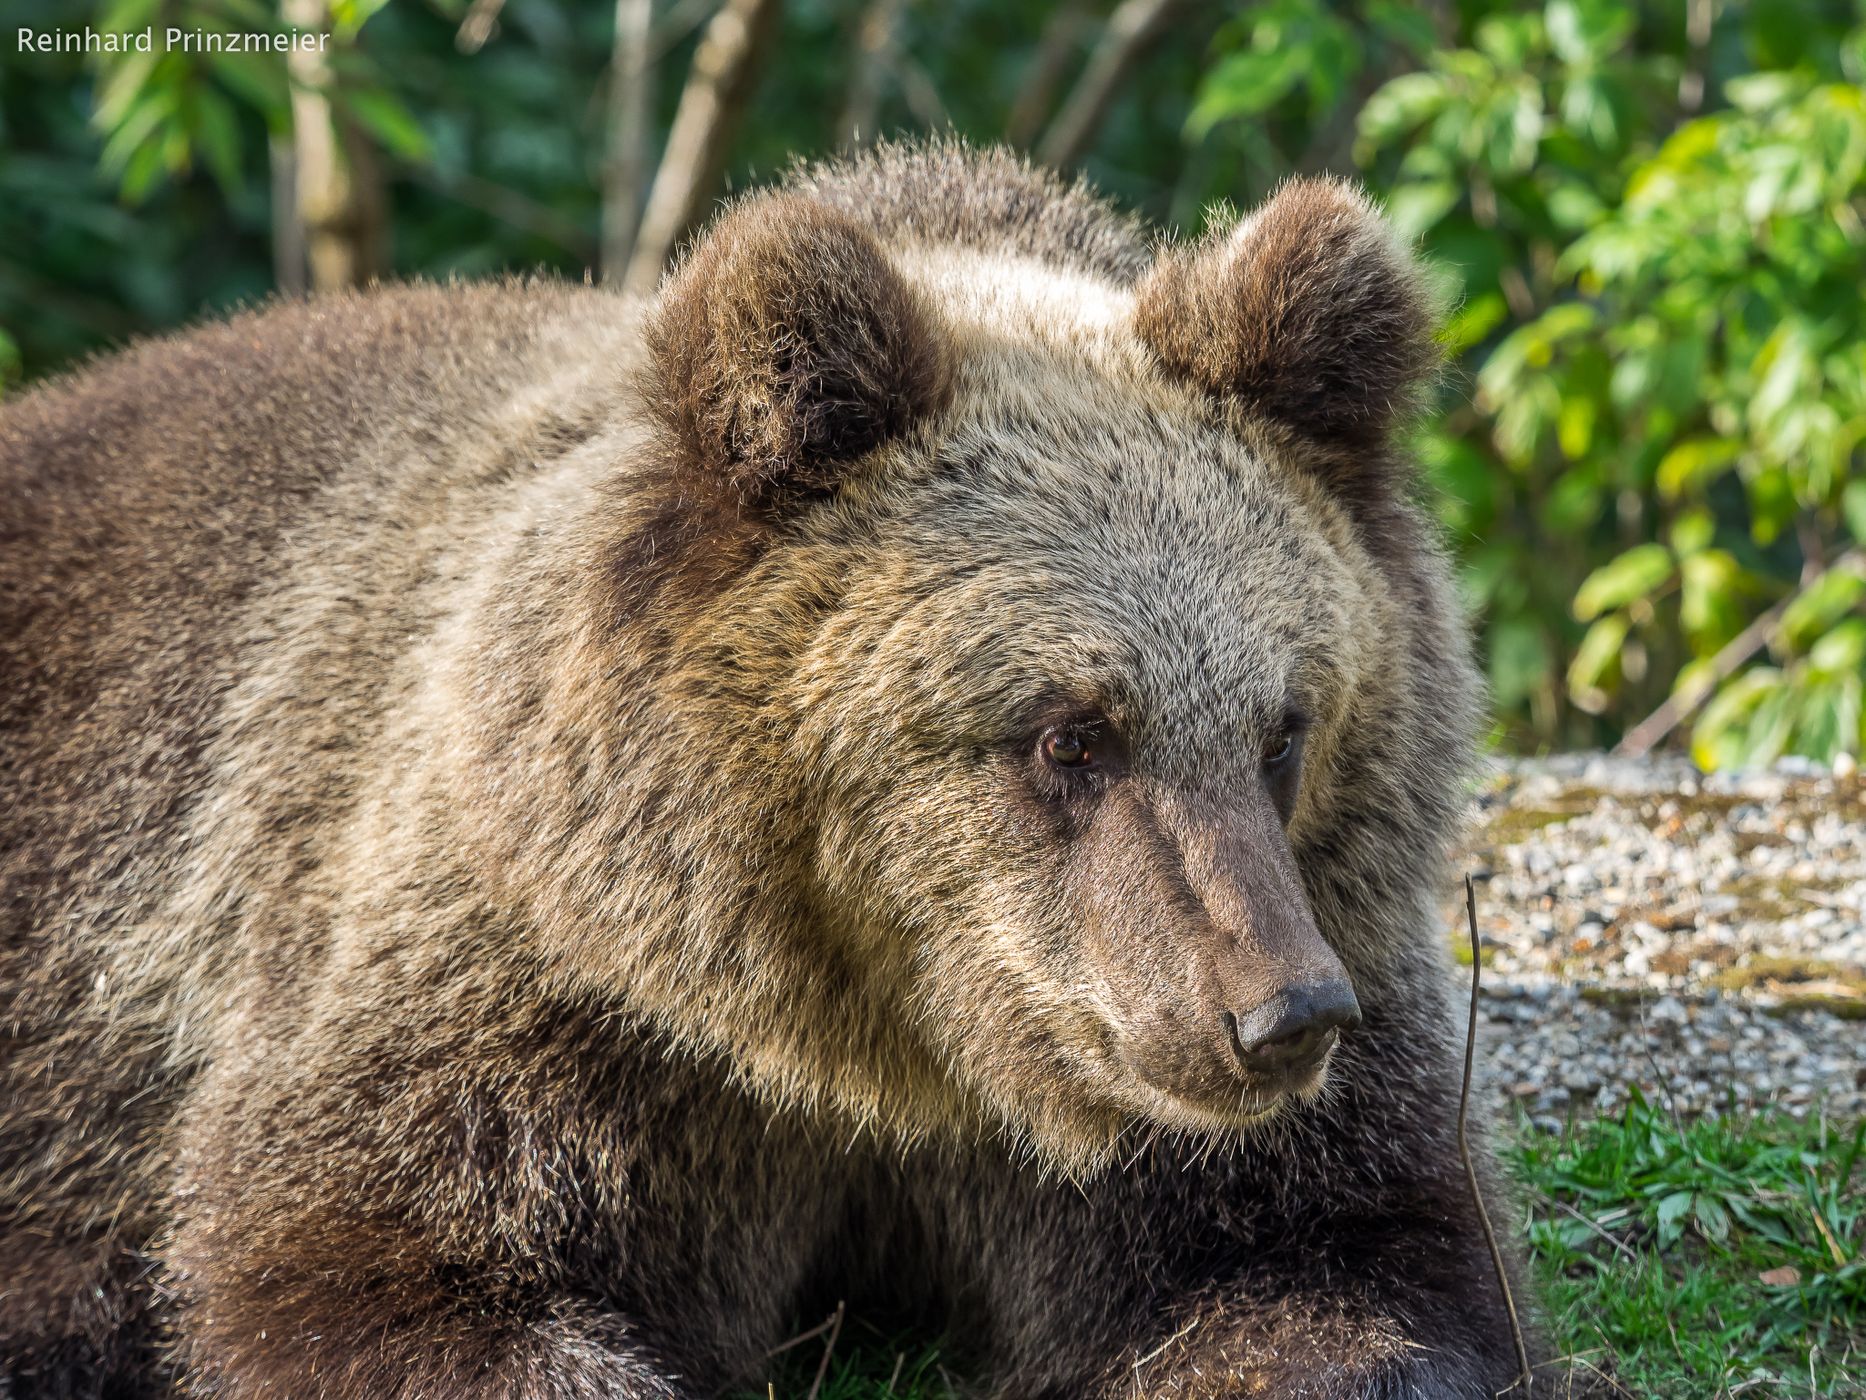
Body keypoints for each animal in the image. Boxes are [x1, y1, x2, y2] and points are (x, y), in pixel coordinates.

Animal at [1, 141, 1546, 1398]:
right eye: (1069, 732)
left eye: (1282, 726)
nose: (1280, 1014)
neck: (878, 1039)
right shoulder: (547, 994)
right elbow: (382, 1259)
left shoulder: (1238, 1049)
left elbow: (1333, 1251)